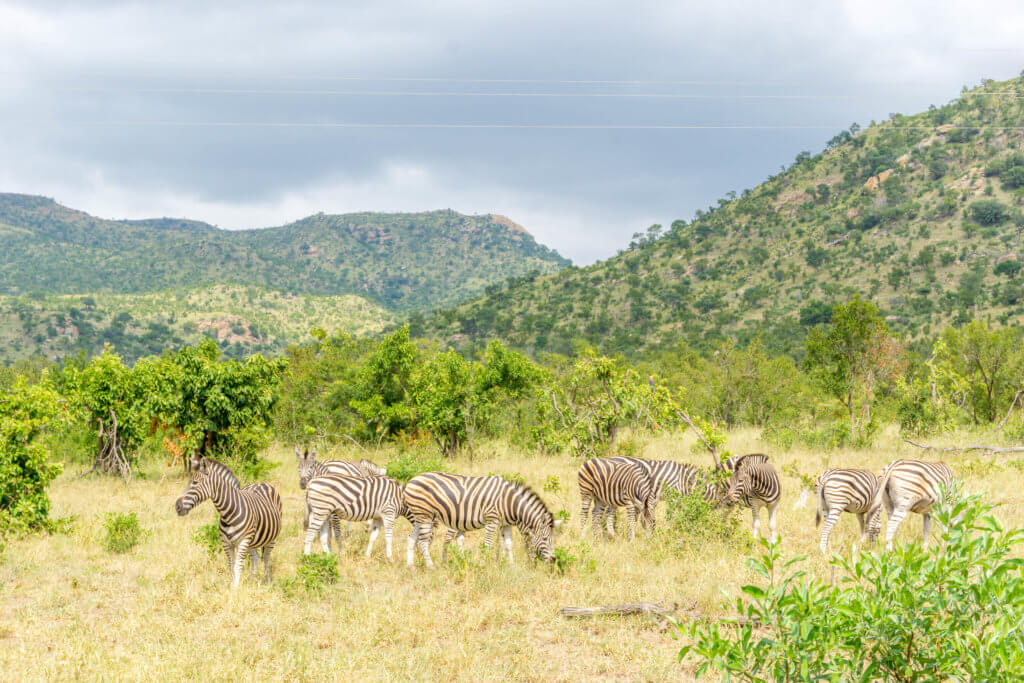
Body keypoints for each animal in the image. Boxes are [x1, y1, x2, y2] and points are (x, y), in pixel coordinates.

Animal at [174, 454, 282, 589]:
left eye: (195, 483)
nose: (177, 506)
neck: (228, 513)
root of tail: (261, 483)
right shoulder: (226, 543)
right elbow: (231, 566)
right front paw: (232, 587)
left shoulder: (243, 541)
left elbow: (237, 567)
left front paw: (235, 589)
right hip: (252, 541)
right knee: (255, 557)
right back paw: (253, 581)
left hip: (271, 538)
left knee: (266, 558)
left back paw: (267, 582)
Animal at [401, 473, 561, 569]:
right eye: (545, 539)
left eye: (554, 540)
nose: (554, 560)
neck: (510, 503)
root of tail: (411, 480)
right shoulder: (492, 520)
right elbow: (488, 544)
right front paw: (484, 566)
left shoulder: (506, 524)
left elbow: (508, 545)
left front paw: (511, 566)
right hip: (425, 516)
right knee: (422, 542)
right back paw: (431, 567)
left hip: (419, 517)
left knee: (411, 539)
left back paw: (411, 567)